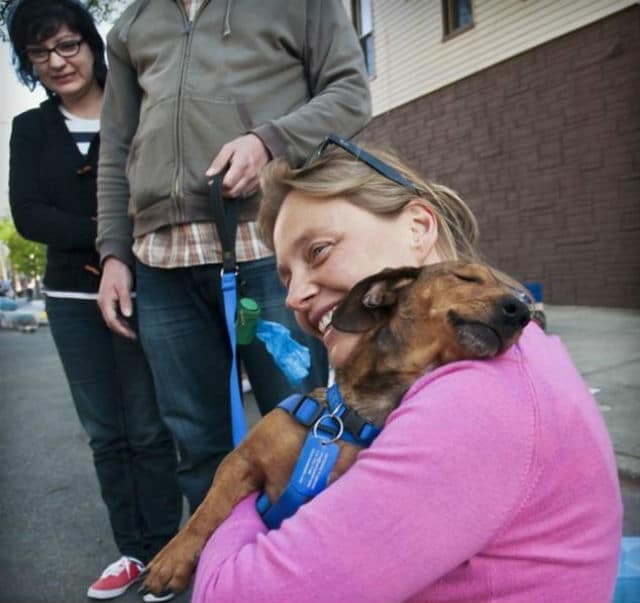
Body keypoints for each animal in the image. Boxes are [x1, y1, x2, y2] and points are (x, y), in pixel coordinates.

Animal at [142, 260, 532, 596]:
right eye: (465, 277)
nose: (523, 311)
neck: (345, 419)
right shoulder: (241, 460)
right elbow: (207, 510)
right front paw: (172, 558)